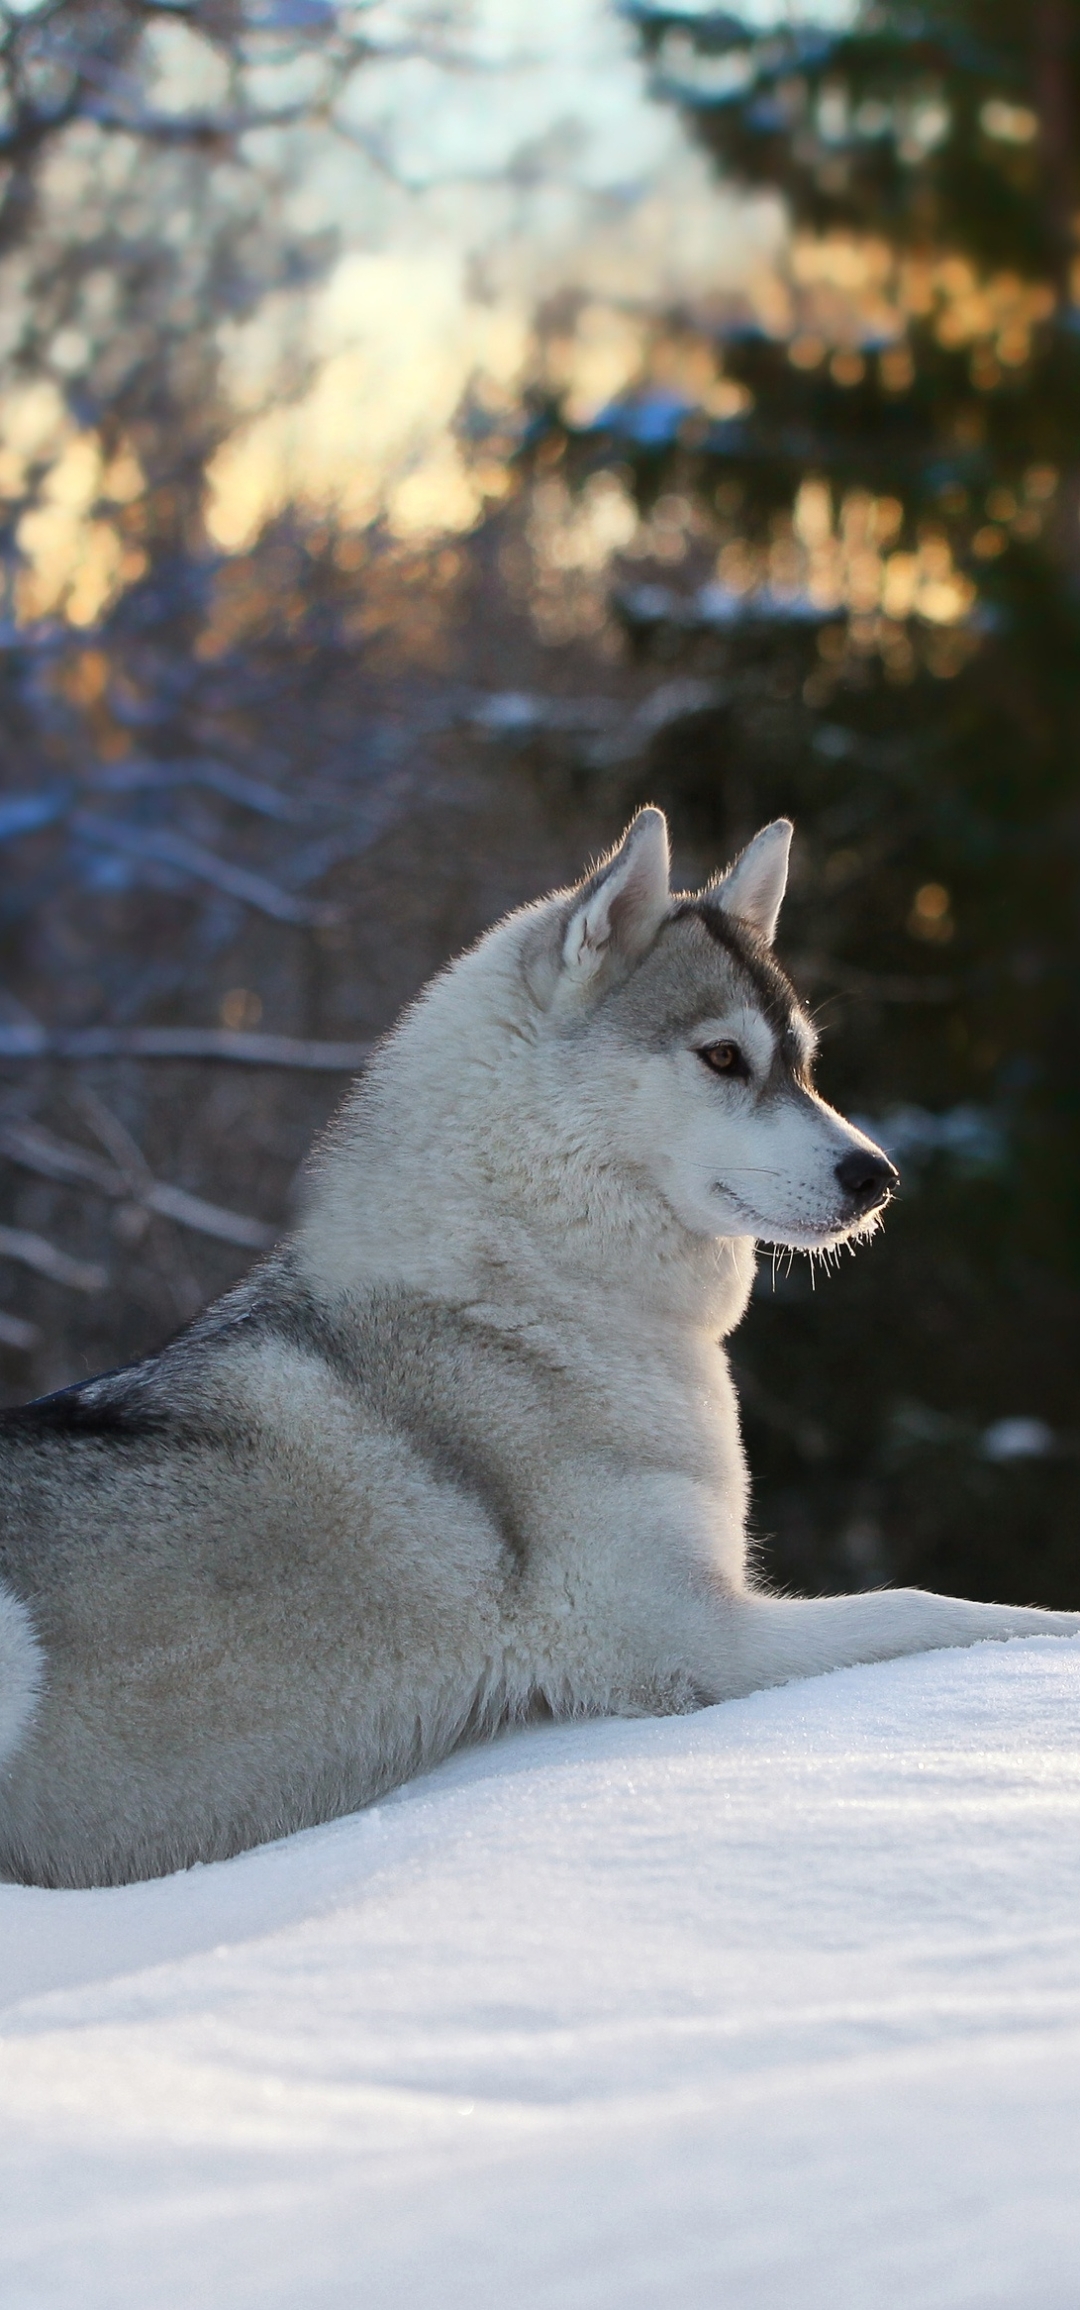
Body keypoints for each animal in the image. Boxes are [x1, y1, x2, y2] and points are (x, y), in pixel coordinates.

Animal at [2, 808, 1080, 1875]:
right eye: (723, 1058)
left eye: (803, 1066)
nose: (879, 1176)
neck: (535, 1285)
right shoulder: (690, 1639)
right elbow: (937, 1607)